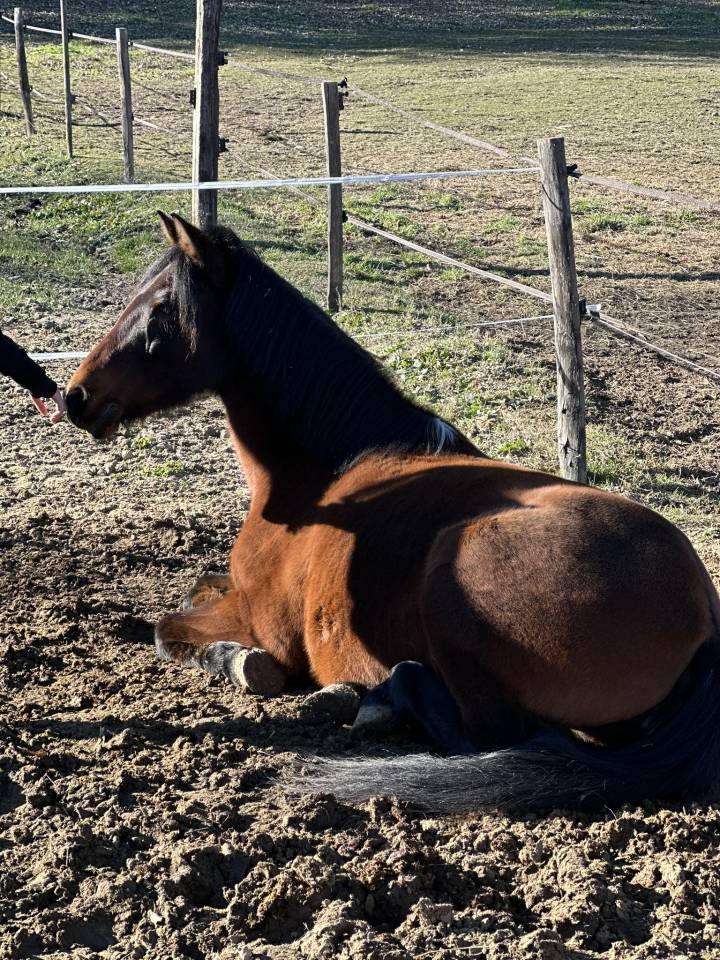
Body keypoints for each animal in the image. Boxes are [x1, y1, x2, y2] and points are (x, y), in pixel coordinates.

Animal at [66, 212, 720, 812]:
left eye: (158, 310)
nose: (75, 396)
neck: (321, 475)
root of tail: (703, 618)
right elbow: (196, 587)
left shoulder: (261, 621)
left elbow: (171, 630)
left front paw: (241, 662)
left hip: (455, 583)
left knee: (489, 735)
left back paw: (372, 698)